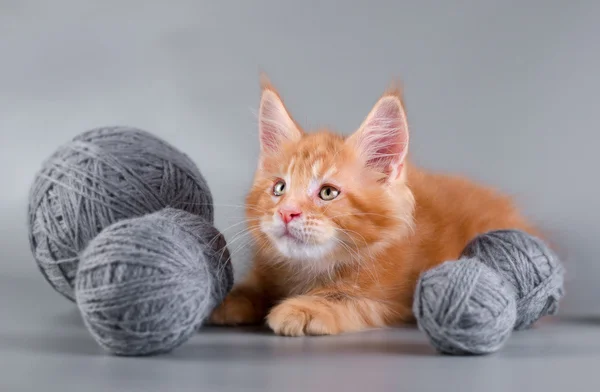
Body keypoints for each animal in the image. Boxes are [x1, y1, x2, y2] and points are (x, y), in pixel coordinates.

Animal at [209, 77, 536, 336]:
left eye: (328, 192)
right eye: (279, 188)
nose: (287, 212)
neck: (309, 269)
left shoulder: (393, 299)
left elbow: (345, 297)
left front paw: (302, 308)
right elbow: (253, 288)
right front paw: (227, 299)